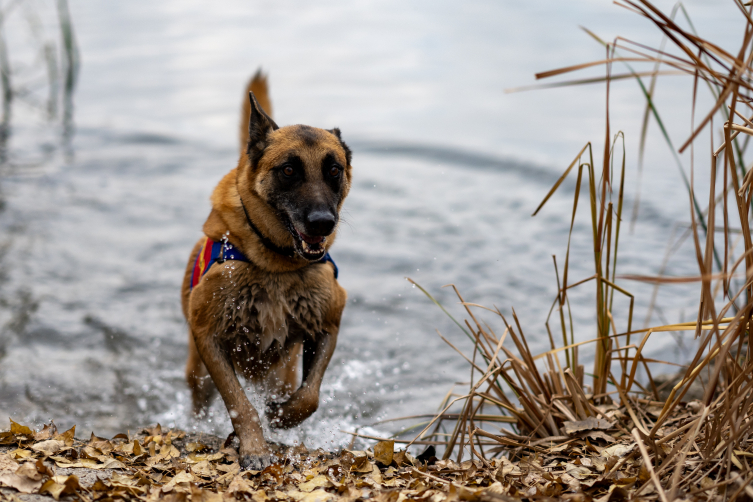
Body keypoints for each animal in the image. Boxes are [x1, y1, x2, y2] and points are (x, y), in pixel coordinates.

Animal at [181, 70, 352, 470]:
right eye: (288, 170)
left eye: (334, 171)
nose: (323, 223)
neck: (277, 265)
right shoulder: (209, 338)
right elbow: (240, 404)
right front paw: (255, 448)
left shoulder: (328, 326)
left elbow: (310, 396)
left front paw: (281, 417)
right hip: (198, 373)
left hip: (280, 373)